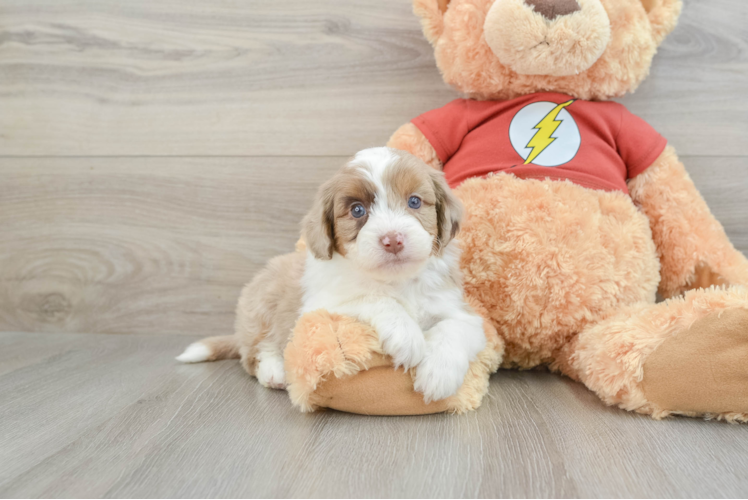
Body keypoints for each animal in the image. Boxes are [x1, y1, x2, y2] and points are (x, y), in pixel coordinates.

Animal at [179, 146, 488, 402]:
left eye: (414, 202)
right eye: (357, 210)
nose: (393, 240)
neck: (395, 280)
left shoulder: (458, 309)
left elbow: (456, 328)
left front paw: (439, 374)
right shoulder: (321, 304)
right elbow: (374, 299)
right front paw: (407, 336)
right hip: (261, 306)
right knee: (255, 352)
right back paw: (274, 371)